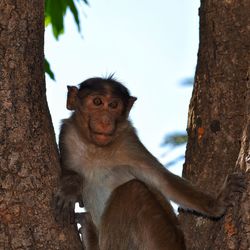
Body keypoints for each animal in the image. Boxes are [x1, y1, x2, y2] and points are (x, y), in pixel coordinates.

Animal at [54, 76, 244, 250]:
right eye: (97, 102)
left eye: (114, 105)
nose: (105, 121)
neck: (96, 149)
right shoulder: (68, 133)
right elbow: (67, 168)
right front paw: (71, 187)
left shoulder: (129, 142)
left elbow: (162, 180)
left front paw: (218, 202)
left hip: (160, 238)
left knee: (133, 190)